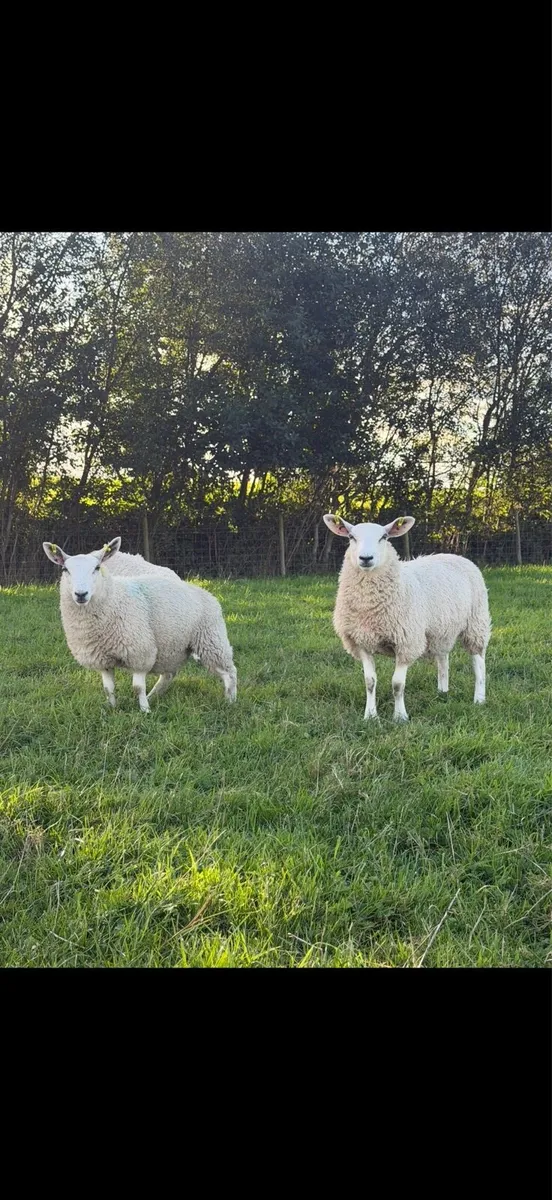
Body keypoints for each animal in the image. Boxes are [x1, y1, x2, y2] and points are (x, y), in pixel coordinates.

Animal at [42, 537, 237, 712]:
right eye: (65, 569)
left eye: (97, 568)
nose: (81, 594)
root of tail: (204, 591)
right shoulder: (102, 658)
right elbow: (108, 688)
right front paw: (112, 708)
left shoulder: (139, 652)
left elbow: (137, 688)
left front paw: (144, 711)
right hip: (171, 647)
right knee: (168, 675)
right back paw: (154, 696)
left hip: (211, 639)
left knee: (229, 672)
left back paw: (231, 701)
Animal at [323, 514, 491, 721]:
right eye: (351, 537)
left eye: (384, 537)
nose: (366, 558)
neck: (370, 609)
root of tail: (453, 555)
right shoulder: (361, 642)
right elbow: (369, 682)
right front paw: (370, 716)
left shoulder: (406, 642)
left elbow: (397, 684)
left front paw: (400, 717)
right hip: (441, 628)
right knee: (443, 657)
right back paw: (442, 691)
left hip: (476, 623)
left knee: (479, 663)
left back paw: (479, 699)